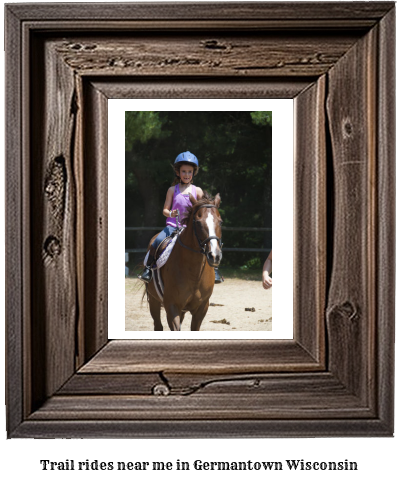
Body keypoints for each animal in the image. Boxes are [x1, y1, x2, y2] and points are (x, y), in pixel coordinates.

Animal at [145, 193, 223, 330]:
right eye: (198, 223)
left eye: (220, 222)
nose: (214, 256)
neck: (194, 274)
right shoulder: (172, 306)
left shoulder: (202, 308)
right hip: (154, 301)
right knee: (158, 326)